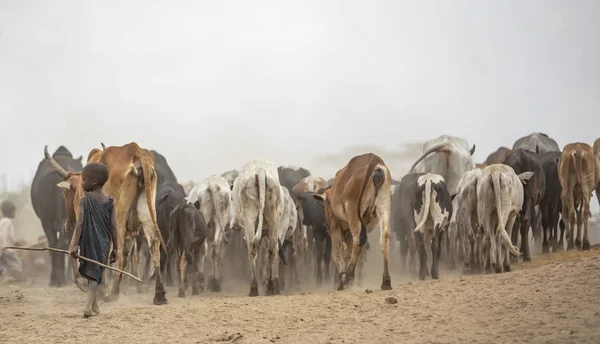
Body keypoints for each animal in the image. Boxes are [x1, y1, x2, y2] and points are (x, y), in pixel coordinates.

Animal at [44, 144, 168, 306]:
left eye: (64, 194)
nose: (67, 225)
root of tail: (135, 150)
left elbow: (79, 249)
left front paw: (86, 285)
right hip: (146, 212)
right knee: (153, 244)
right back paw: (159, 295)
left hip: (119, 218)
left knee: (121, 253)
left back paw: (113, 294)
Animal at [231, 159, 284, 296]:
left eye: (232, 198)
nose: (234, 225)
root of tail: (260, 170)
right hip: (273, 218)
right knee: (271, 250)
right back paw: (270, 287)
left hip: (249, 218)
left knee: (252, 249)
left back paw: (254, 288)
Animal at [312, 153, 392, 290]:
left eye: (325, 204)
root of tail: (374, 160)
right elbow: (349, 253)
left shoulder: (335, 226)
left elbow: (337, 253)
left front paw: (341, 279)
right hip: (384, 207)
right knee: (384, 239)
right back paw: (386, 281)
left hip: (353, 212)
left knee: (358, 240)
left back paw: (349, 276)